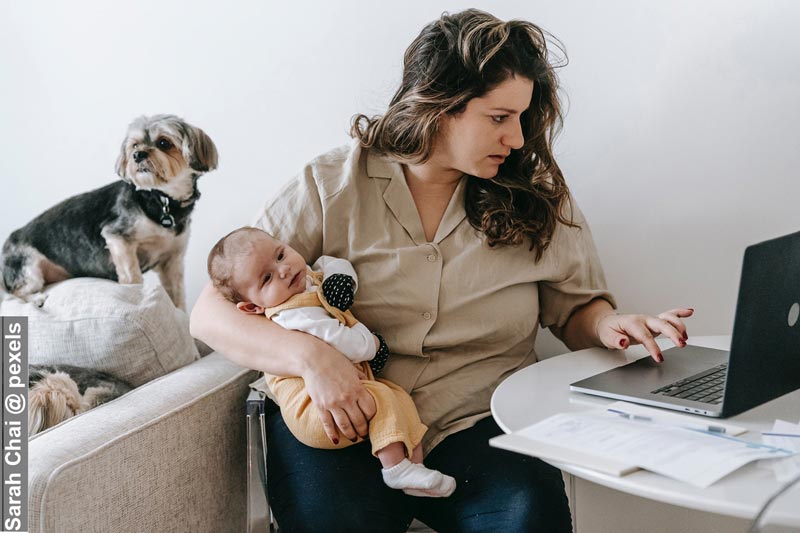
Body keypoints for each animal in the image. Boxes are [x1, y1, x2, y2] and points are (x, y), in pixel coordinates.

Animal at [0, 114, 217, 310]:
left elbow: (177, 296)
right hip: (28, 268)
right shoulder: (118, 238)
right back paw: (36, 299)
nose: (138, 155)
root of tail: (8, 242)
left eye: (164, 142)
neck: (162, 199)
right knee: (13, 293)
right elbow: (132, 276)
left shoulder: (172, 260)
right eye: (135, 145)